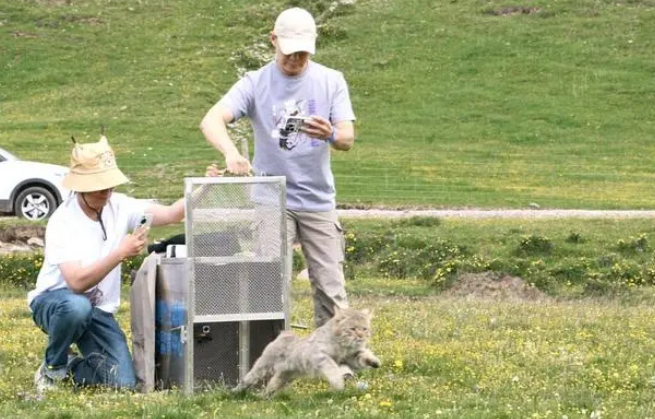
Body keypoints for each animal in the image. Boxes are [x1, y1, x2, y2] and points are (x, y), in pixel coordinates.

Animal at [234, 306, 380, 396]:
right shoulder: (319, 355)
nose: (361, 337)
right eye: (352, 329)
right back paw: (235, 392)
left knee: (271, 385)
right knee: (247, 379)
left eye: (364, 329)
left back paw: (264, 397)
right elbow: (332, 368)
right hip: (262, 367)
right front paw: (338, 383)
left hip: (285, 376)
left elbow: (363, 355)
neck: (342, 345)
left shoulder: (350, 357)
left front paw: (373, 361)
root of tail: (283, 334)